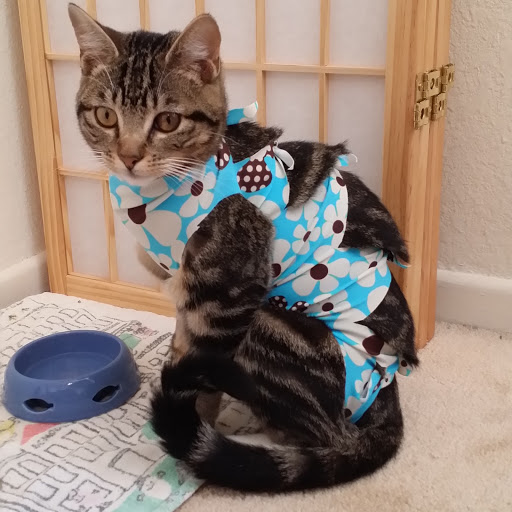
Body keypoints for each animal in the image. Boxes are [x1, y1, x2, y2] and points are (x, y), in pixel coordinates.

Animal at [69, 4, 418, 492]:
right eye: (105, 116)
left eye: (167, 121)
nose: (129, 156)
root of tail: (389, 396)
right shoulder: (186, 297)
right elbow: (181, 347)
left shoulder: (226, 297)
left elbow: (198, 377)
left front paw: (188, 440)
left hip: (267, 327)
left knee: (326, 433)